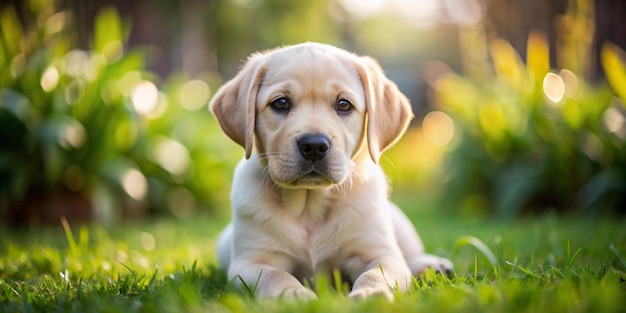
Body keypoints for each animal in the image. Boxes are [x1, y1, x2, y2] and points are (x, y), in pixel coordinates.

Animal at [212, 42, 450, 300]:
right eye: (280, 103)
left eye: (344, 105)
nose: (314, 145)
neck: (310, 206)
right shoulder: (248, 263)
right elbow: (275, 275)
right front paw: (293, 295)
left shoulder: (380, 254)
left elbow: (376, 273)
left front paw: (370, 294)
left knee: (410, 254)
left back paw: (432, 265)